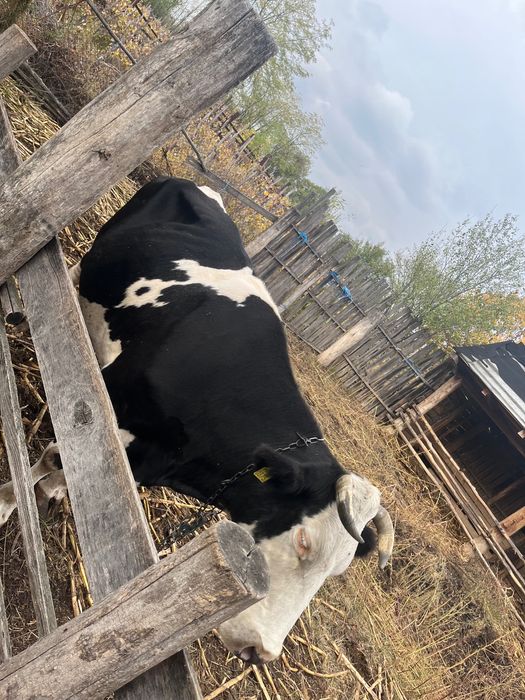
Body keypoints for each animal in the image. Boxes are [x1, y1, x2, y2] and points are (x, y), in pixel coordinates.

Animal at [0, 177, 393, 665]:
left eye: (337, 570)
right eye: (303, 541)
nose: (261, 650)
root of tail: (193, 183)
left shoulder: (149, 456)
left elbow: (67, 465)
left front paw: (51, 492)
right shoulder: (112, 396)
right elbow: (53, 456)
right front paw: (7, 502)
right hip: (92, 261)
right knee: (72, 277)